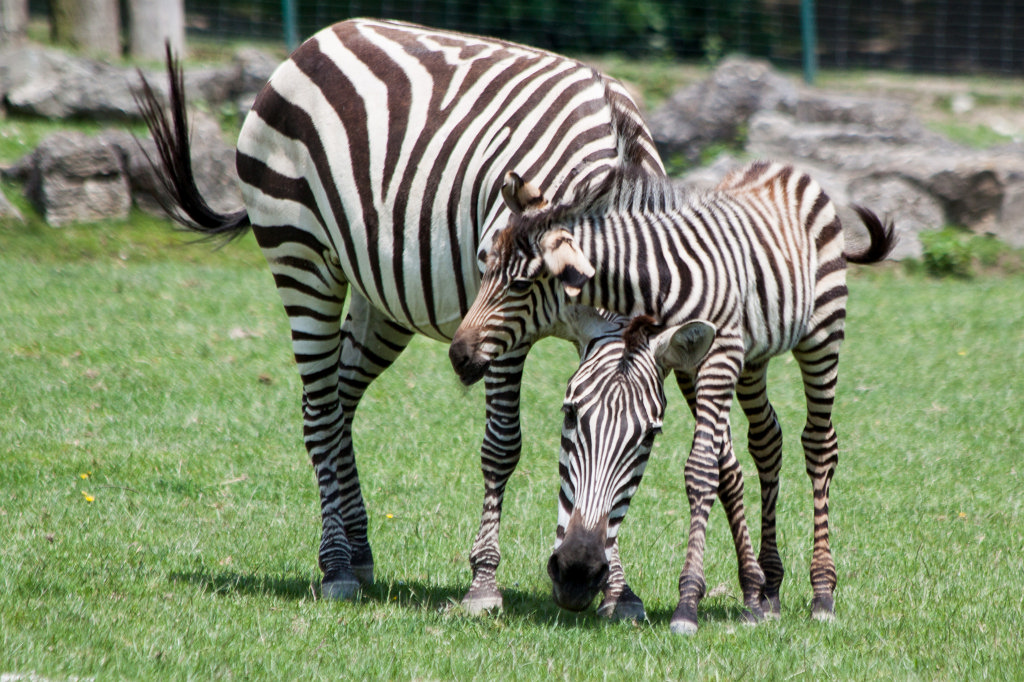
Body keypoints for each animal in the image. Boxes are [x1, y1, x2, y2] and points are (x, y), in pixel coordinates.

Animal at [134, 18, 666, 616]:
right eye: (569, 417)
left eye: (649, 438)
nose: (577, 574)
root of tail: (319, 38)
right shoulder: (501, 324)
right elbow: (502, 447)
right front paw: (483, 584)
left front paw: (619, 591)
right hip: (301, 256)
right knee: (320, 412)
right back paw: (337, 566)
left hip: (382, 297)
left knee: (338, 400)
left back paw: (358, 550)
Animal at [450, 159, 897, 633]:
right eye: (485, 269)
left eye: (519, 285)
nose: (460, 354)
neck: (651, 282)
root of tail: (782, 168)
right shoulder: (683, 360)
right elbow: (721, 464)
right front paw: (748, 594)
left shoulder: (718, 354)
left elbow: (701, 468)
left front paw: (687, 604)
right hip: (753, 360)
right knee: (767, 440)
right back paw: (772, 589)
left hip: (822, 333)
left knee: (819, 444)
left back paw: (823, 593)